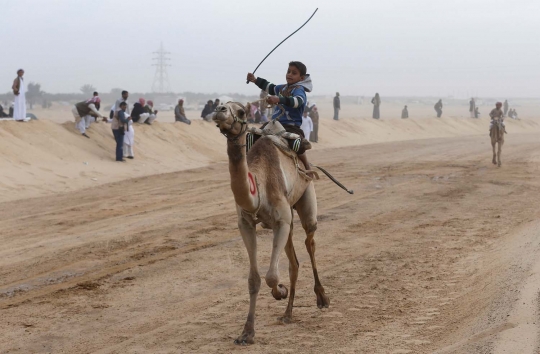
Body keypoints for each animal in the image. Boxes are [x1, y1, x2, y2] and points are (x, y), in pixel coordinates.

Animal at [211, 103, 330, 346]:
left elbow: (272, 276)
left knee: (309, 241)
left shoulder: (281, 220)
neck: (260, 185)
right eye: (220, 103)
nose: (219, 109)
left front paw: (280, 291)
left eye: (241, 112)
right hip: (288, 222)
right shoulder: (246, 224)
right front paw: (246, 333)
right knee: (294, 262)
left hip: (306, 201)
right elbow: (254, 279)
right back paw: (287, 314)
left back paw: (321, 297)